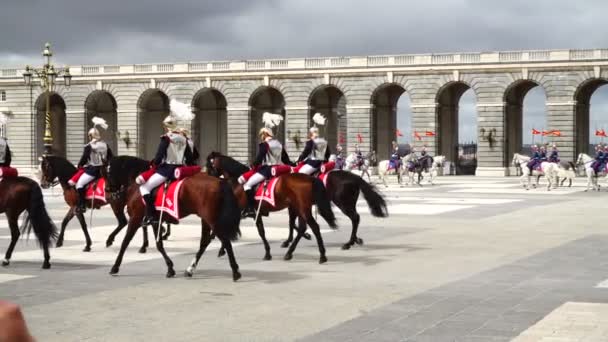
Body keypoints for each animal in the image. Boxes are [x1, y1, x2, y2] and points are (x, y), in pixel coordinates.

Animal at [107, 171, 242, 280]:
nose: (121, 218)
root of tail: (219, 181)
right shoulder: (156, 222)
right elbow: (159, 244)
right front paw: (170, 268)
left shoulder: (135, 219)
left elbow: (125, 242)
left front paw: (115, 267)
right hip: (206, 219)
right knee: (205, 242)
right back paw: (190, 269)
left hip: (211, 220)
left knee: (225, 241)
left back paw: (235, 271)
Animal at [204, 152, 338, 262]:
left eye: (209, 166)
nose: (209, 182)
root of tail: (309, 178)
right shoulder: (256, 214)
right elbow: (262, 231)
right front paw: (268, 253)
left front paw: (221, 249)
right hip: (302, 208)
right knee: (302, 228)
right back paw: (290, 252)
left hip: (303, 209)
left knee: (314, 227)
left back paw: (321, 255)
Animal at [208, 152, 390, 251]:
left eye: (209, 166)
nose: (210, 179)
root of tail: (354, 176)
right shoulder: (293, 205)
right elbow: (292, 222)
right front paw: (298, 237)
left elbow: (292, 223)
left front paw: (295, 238)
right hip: (348, 203)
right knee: (356, 218)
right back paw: (355, 240)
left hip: (343, 203)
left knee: (354, 218)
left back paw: (349, 242)